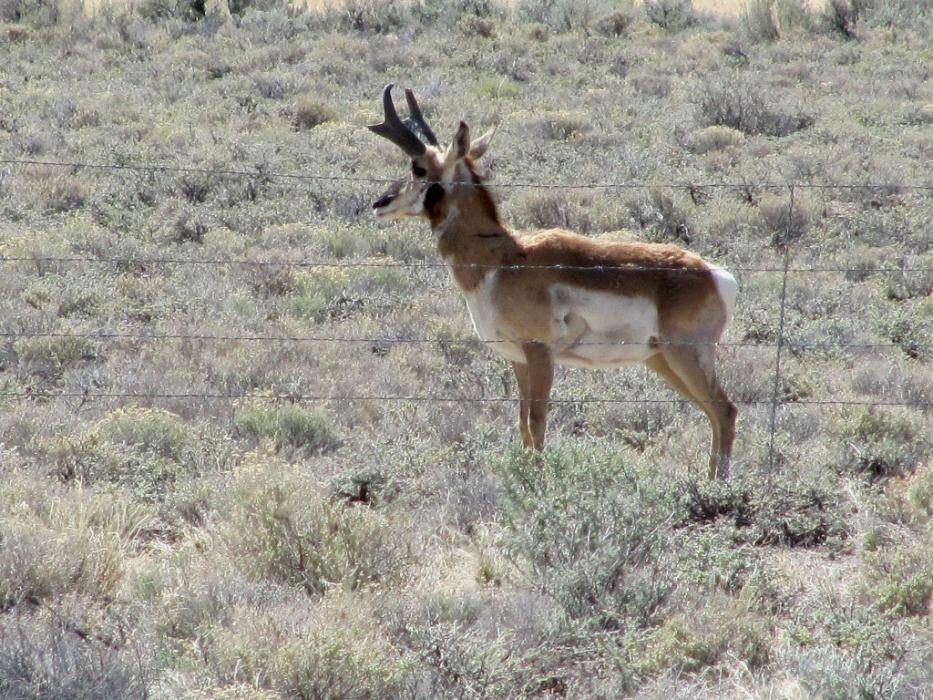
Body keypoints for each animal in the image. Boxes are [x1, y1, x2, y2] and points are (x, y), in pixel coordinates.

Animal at [368, 84, 739, 479]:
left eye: (418, 167)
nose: (380, 203)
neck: (504, 257)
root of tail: (714, 274)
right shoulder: (518, 359)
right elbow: (521, 423)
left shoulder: (540, 353)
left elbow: (537, 421)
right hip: (662, 361)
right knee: (714, 414)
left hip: (684, 357)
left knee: (725, 410)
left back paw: (717, 486)